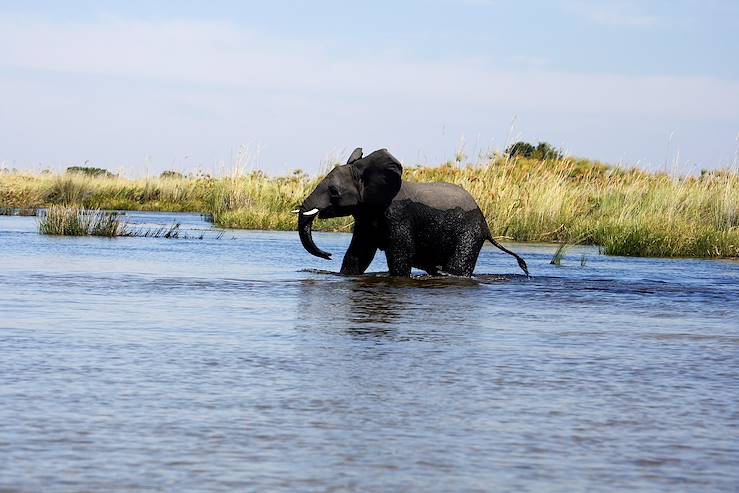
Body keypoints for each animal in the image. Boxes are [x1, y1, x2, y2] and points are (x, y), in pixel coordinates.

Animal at [292, 147, 528, 276]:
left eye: (334, 192)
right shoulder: (367, 217)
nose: (328, 255)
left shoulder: (398, 216)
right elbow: (358, 254)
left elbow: (400, 256)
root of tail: (487, 226)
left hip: (469, 234)